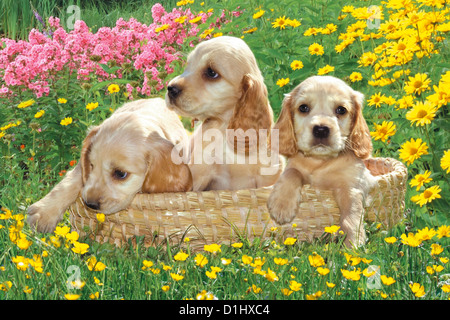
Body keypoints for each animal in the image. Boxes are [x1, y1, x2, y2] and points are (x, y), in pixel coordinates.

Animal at [165, 35, 282, 190]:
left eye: (211, 72)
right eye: (188, 66)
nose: (170, 88)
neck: (224, 127)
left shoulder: (268, 174)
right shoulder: (199, 172)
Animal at [268, 76, 376, 246]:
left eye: (341, 110)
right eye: (303, 108)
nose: (321, 130)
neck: (320, 161)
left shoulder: (353, 185)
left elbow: (352, 213)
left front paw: (353, 242)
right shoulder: (294, 166)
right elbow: (291, 172)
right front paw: (282, 205)